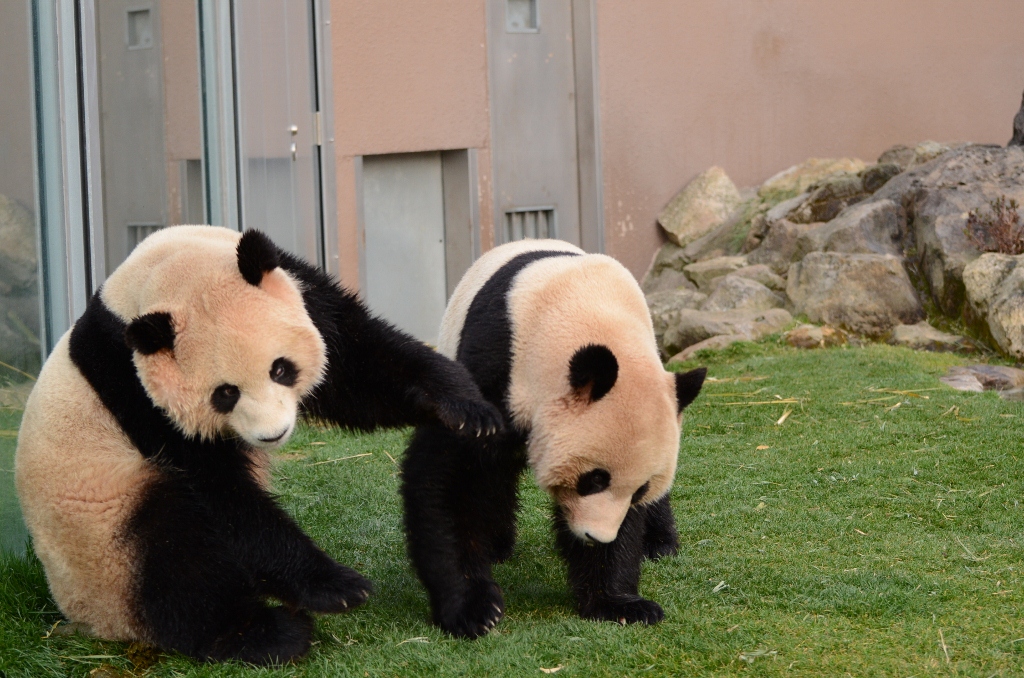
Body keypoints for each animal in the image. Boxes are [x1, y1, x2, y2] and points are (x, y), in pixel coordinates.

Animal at [12, 225, 499, 667]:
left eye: (280, 369)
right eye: (225, 393)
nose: (273, 435)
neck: (165, 273)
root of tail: (87, 619)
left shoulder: (299, 290)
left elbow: (357, 365)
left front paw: (465, 409)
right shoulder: (131, 383)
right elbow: (219, 491)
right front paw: (337, 587)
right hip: (101, 530)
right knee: (175, 559)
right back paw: (269, 634)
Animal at [399, 238, 704, 639]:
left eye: (639, 490)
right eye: (594, 479)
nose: (596, 537)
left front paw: (619, 603)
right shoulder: (495, 366)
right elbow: (450, 477)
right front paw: (473, 611)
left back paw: (660, 544)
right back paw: (497, 546)